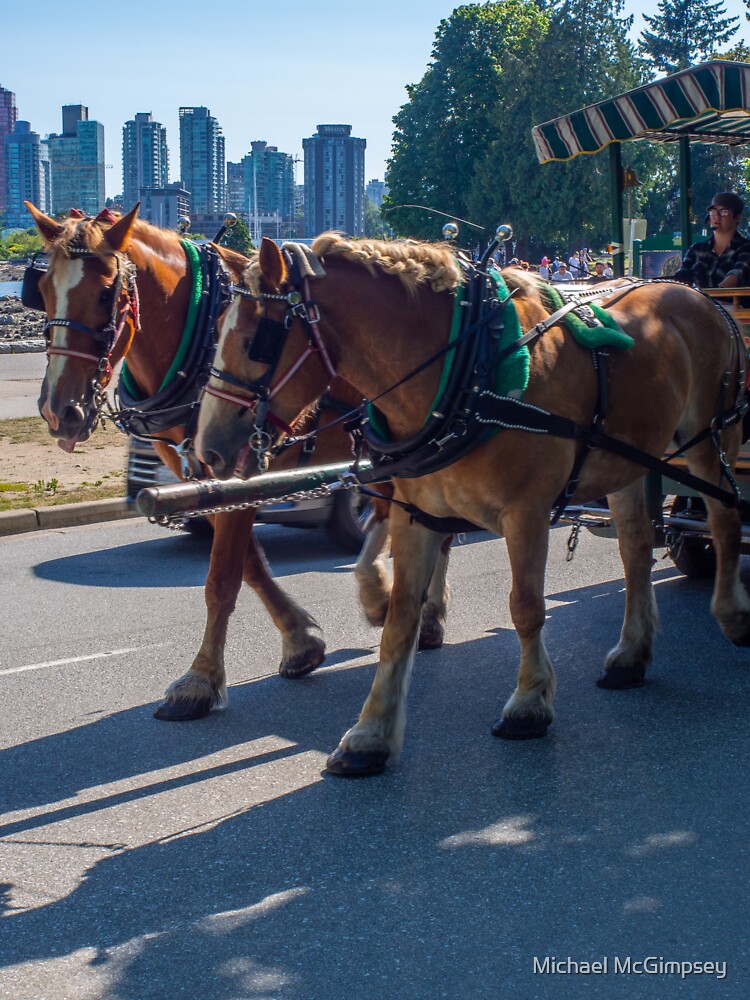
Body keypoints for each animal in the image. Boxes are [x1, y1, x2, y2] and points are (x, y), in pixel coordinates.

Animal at [27, 205, 452, 720]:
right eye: (42, 288)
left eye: (108, 291)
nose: (60, 411)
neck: (198, 336)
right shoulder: (201, 475)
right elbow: (248, 565)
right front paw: (300, 640)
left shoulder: (240, 465)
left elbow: (222, 578)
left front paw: (200, 679)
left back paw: (413, 608)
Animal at [197, 232, 750, 772]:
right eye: (216, 329)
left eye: (257, 339)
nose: (207, 450)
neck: (467, 372)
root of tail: (698, 295)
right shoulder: (417, 515)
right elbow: (399, 621)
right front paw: (371, 733)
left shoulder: (527, 513)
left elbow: (525, 606)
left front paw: (529, 703)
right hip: (630, 459)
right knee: (636, 550)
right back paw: (632, 653)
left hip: (709, 438)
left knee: (724, 520)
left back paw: (732, 613)